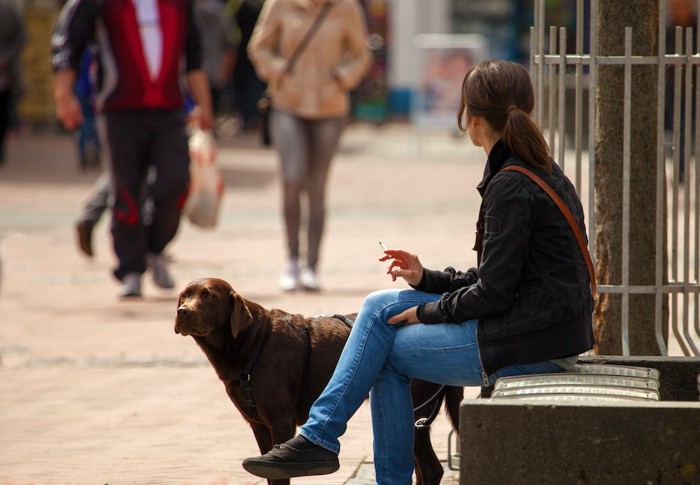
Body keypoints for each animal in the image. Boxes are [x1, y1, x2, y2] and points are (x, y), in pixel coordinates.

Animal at [174, 276, 460, 484]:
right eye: (184, 295)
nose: (182, 312)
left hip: (415, 411)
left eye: (209, 296)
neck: (252, 341)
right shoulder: (259, 424)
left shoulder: (281, 420)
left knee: (431, 469)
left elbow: (278, 475)